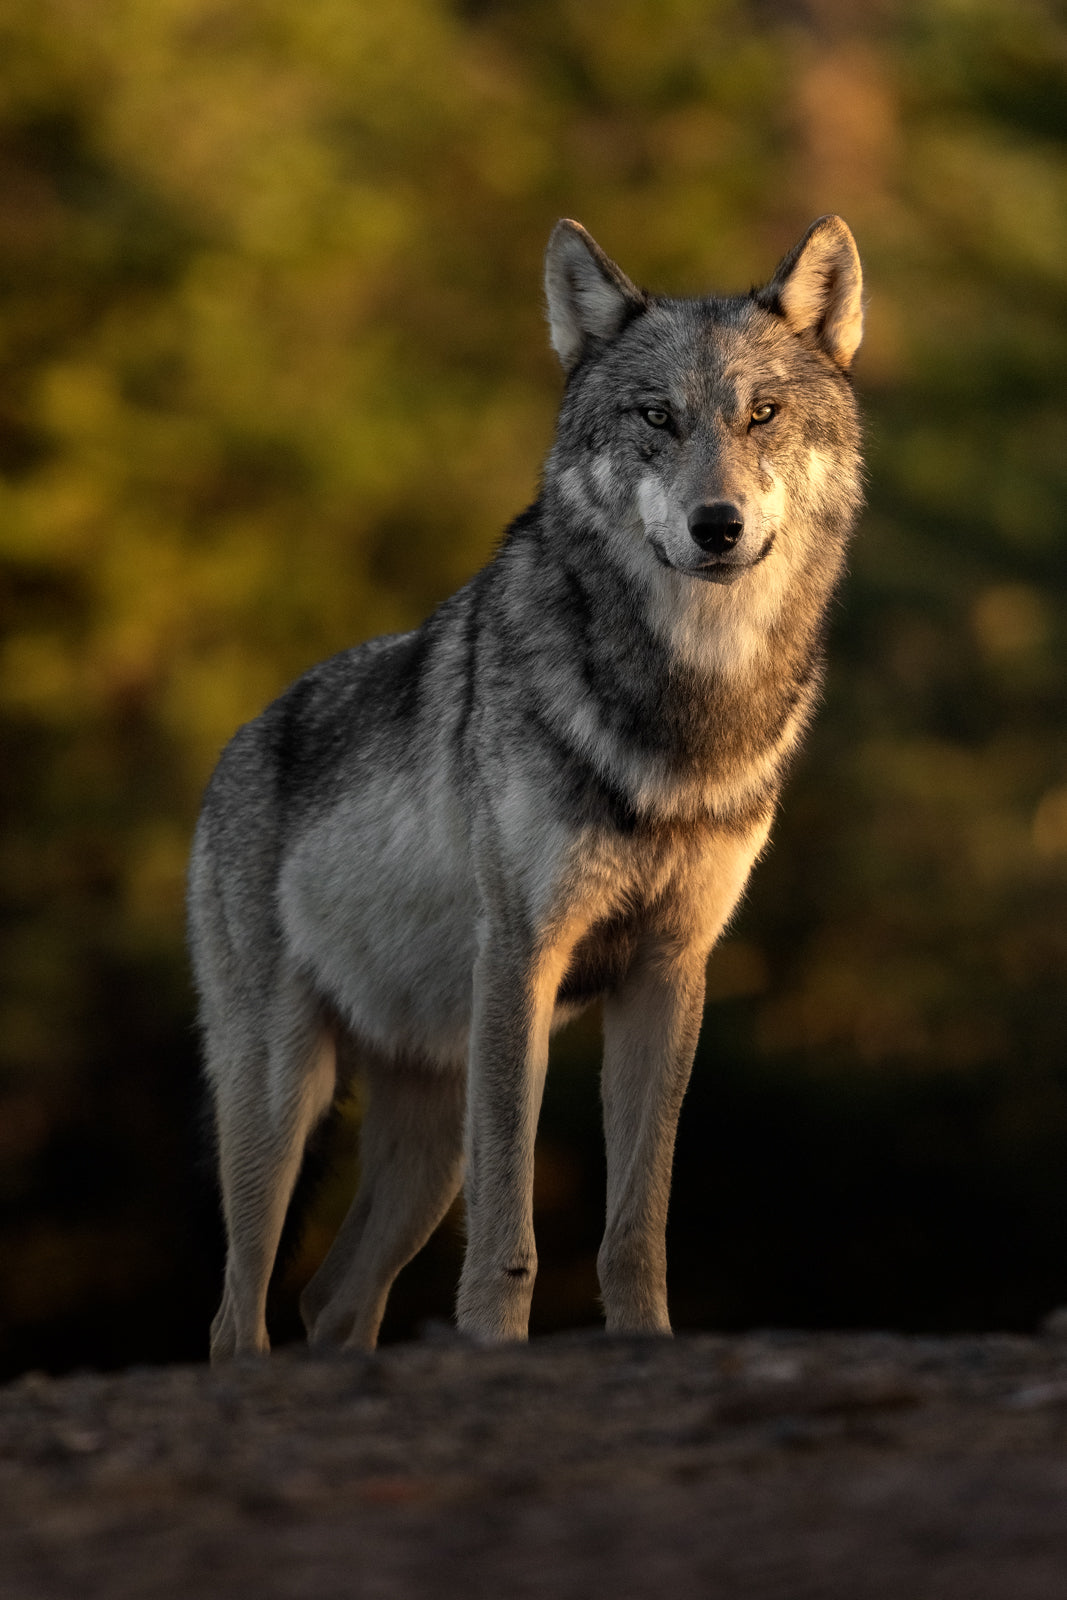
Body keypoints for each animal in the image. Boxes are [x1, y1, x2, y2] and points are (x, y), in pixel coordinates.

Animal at [188, 214, 864, 1361]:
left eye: (762, 415)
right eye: (655, 417)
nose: (715, 525)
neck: (683, 707)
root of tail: (238, 742)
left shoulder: (668, 974)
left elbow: (637, 1220)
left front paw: (644, 1342)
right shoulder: (522, 959)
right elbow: (510, 1222)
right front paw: (493, 1344)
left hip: (424, 1140)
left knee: (327, 1296)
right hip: (284, 1100)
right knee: (238, 1314)